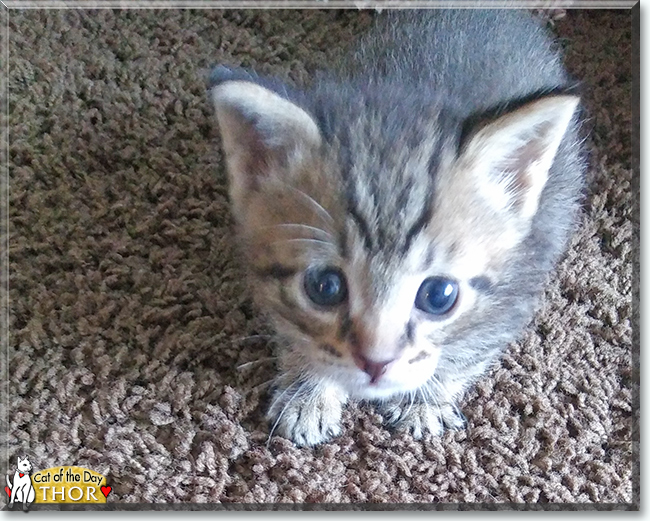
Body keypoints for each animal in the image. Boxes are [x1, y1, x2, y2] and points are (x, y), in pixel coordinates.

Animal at [208, 10, 584, 444]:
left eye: (439, 296)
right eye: (324, 286)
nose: (376, 363)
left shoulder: (517, 289)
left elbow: (468, 351)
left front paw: (424, 401)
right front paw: (309, 389)